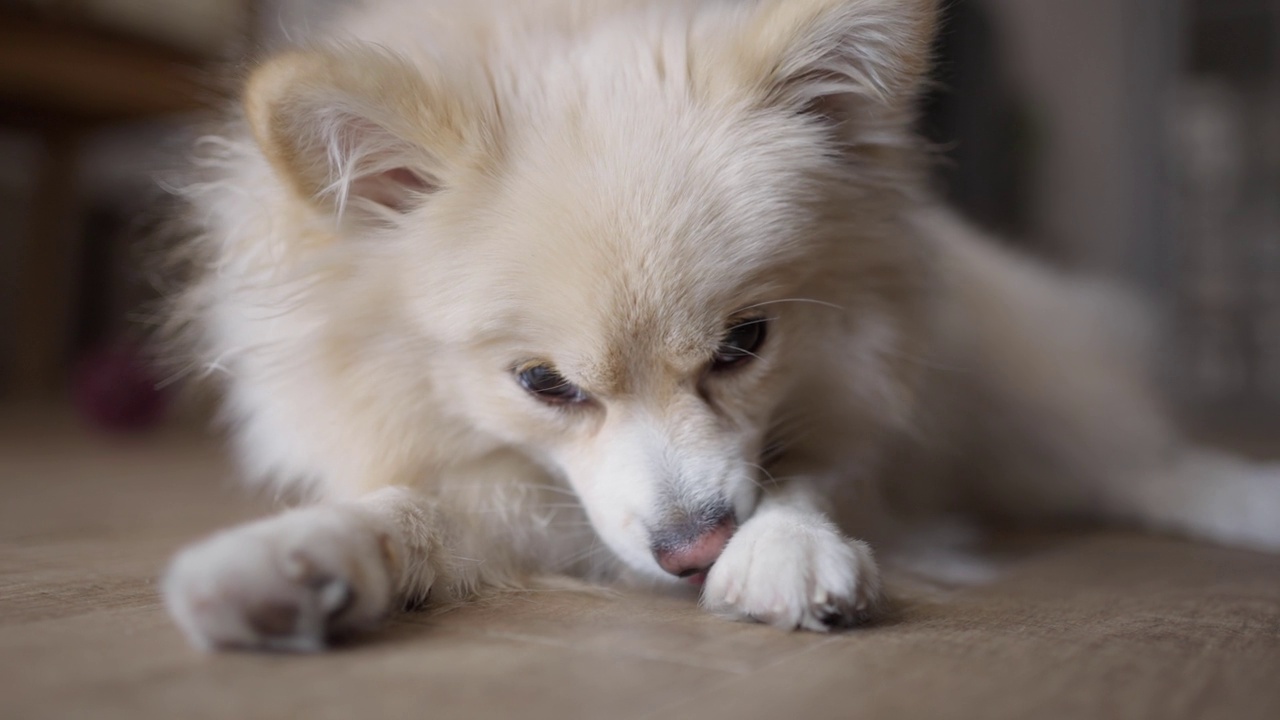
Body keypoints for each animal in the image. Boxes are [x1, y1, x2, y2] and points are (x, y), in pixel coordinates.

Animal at [160, 0, 1280, 650]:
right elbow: (408, 511)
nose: (691, 552)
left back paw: (1246, 502)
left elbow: (802, 474)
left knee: (1144, 465)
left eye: (744, 345)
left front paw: (783, 547)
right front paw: (292, 565)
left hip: (1029, 402)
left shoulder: (862, 416)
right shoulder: (503, 490)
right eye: (545, 385)